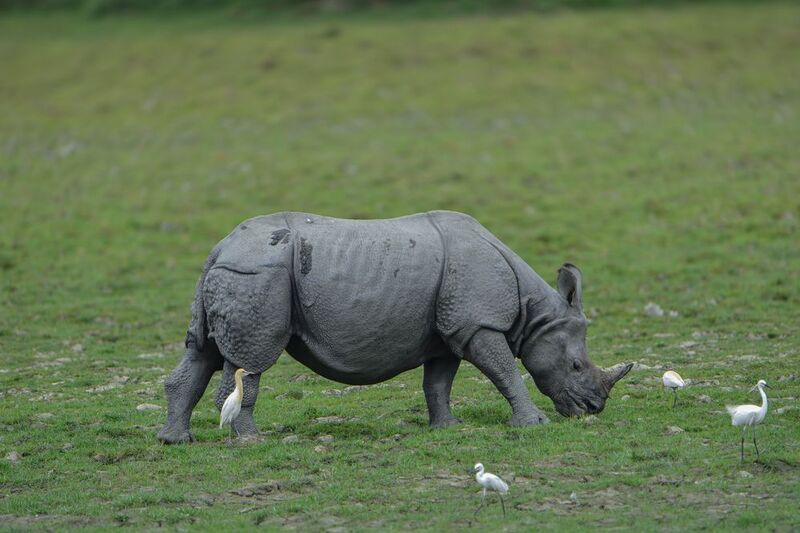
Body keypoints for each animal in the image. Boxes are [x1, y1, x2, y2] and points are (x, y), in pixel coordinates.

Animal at [158, 211, 632, 444]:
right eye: (575, 366)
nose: (593, 409)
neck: (533, 313)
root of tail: (220, 246)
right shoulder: (476, 323)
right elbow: (505, 371)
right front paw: (533, 425)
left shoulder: (447, 329)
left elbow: (438, 383)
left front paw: (448, 428)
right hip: (259, 274)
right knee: (250, 360)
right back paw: (252, 440)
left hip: (236, 272)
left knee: (203, 352)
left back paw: (175, 441)